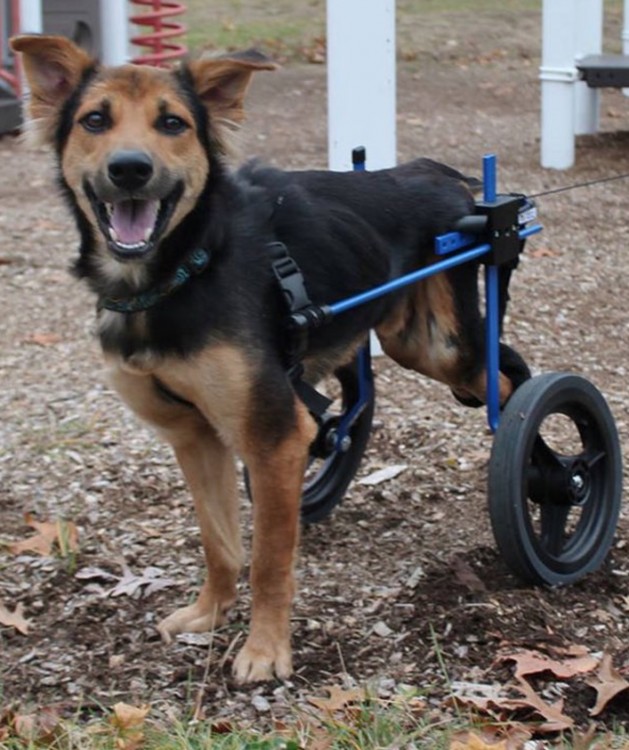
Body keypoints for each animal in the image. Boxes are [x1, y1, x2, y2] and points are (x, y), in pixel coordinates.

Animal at [12, 35, 528, 684]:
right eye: (95, 120)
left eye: (173, 123)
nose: (130, 169)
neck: (185, 270)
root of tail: (438, 174)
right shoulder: (196, 436)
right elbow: (220, 543)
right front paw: (209, 613)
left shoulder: (274, 438)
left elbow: (268, 560)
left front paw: (264, 649)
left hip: (444, 348)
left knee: (513, 386)